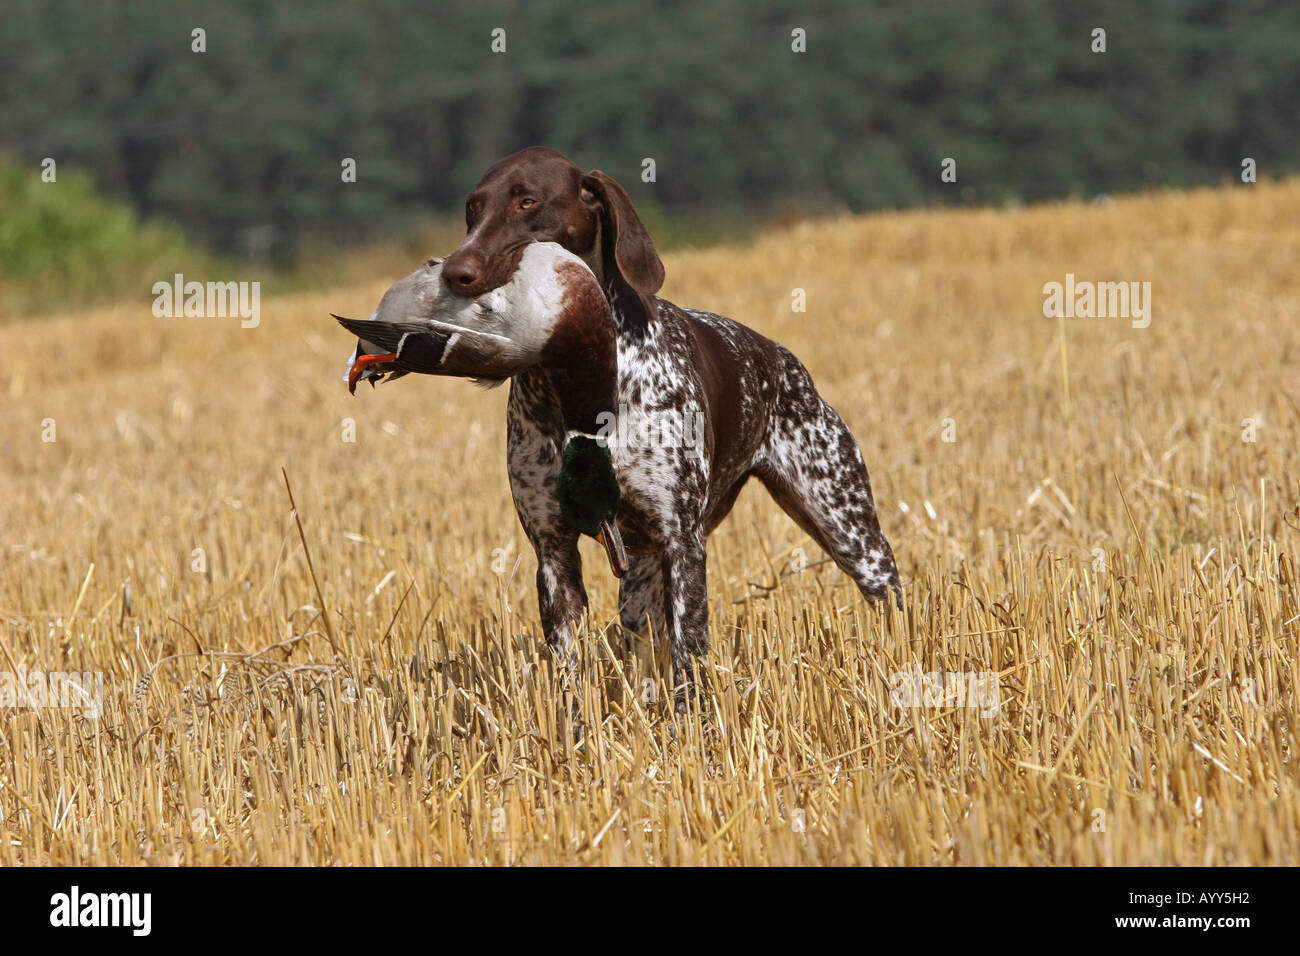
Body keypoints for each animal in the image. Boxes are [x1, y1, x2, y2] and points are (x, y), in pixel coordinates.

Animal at [441, 145, 899, 707]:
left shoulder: (683, 541)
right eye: (472, 208)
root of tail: (783, 360)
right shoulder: (553, 550)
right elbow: (570, 673)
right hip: (639, 577)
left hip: (849, 530)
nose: (455, 272)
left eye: (527, 201)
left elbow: (689, 653)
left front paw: (693, 723)